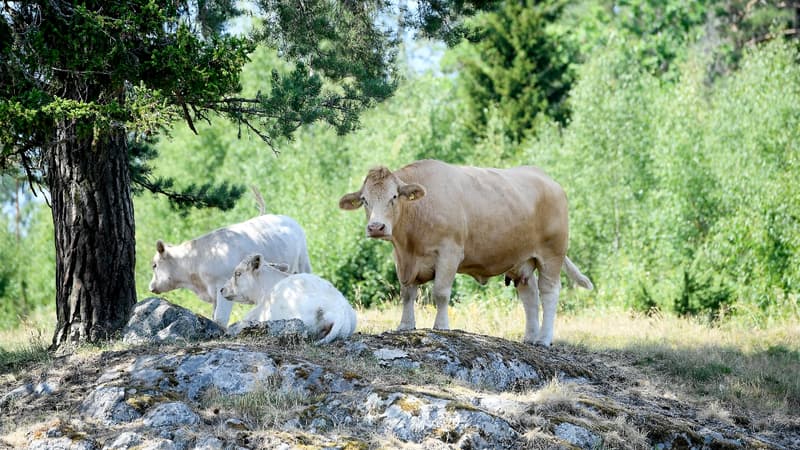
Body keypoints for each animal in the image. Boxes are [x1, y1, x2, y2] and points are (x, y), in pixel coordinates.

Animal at [148, 214, 310, 326]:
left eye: (154, 265)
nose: (150, 287)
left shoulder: (222, 284)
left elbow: (220, 318)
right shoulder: (214, 293)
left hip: (303, 262)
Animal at [334, 160, 592, 346]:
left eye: (394, 197)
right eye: (365, 200)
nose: (376, 227)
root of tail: (547, 179)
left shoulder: (449, 252)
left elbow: (440, 293)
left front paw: (441, 326)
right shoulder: (402, 260)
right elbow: (407, 294)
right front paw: (405, 325)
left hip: (552, 253)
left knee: (549, 293)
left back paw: (544, 339)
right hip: (523, 260)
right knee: (530, 295)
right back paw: (530, 337)